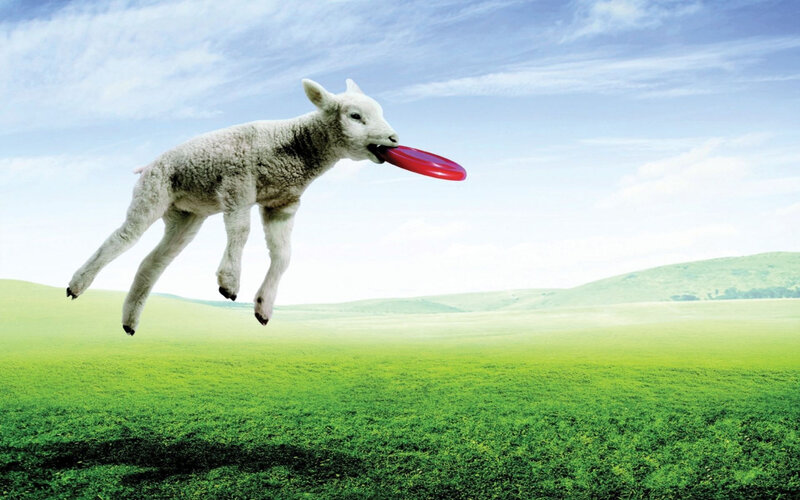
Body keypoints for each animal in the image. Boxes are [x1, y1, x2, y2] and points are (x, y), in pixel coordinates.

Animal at [67, 78, 399, 335]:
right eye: (355, 116)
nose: (394, 138)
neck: (296, 147)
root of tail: (148, 165)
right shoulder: (237, 184)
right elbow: (241, 230)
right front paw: (229, 283)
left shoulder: (282, 203)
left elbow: (283, 255)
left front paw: (264, 306)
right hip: (153, 191)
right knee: (122, 237)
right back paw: (76, 286)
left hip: (186, 215)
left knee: (152, 262)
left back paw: (129, 323)